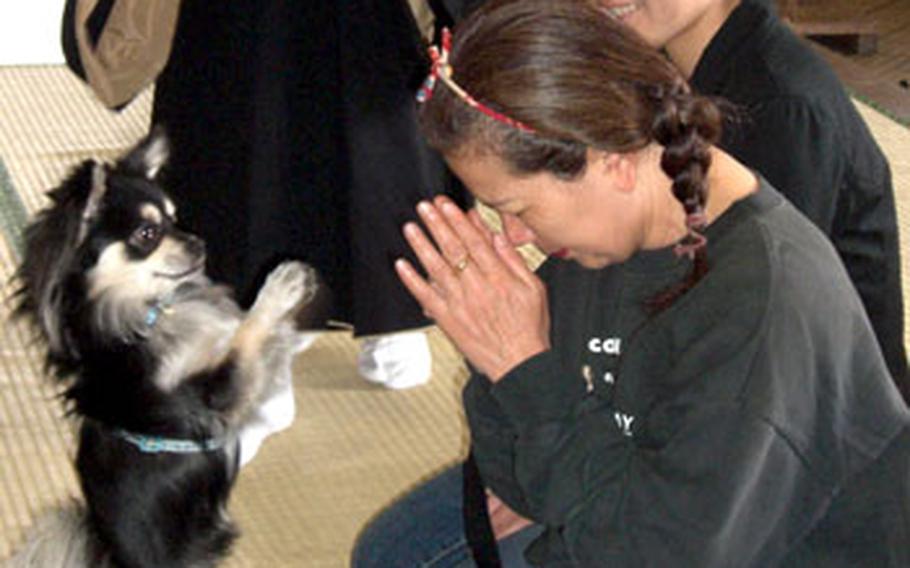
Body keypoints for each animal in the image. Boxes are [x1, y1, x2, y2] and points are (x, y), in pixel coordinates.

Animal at [7, 130, 318, 568]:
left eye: (175, 218)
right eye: (147, 235)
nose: (199, 243)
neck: (153, 314)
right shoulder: (214, 396)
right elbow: (247, 333)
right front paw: (282, 286)